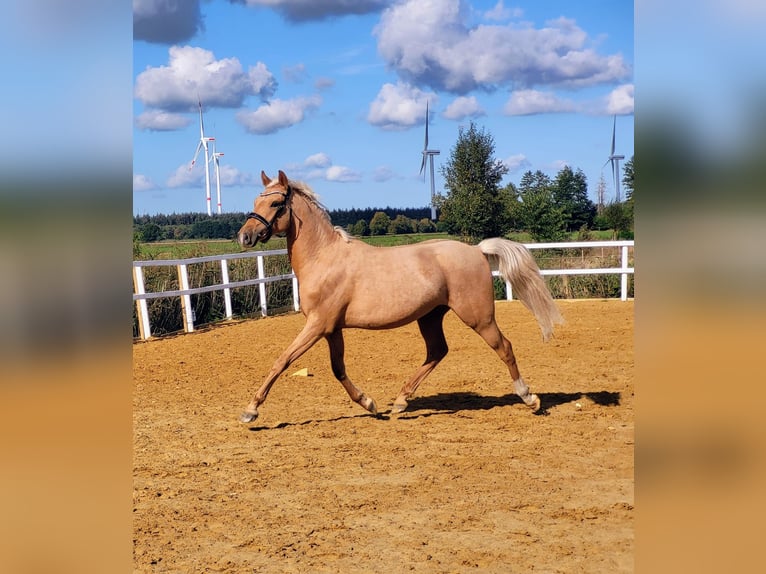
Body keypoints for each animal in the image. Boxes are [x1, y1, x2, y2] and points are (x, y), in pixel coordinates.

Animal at [236, 170, 563, 423]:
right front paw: (369, 404)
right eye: (255, 201)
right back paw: (400, 401)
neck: (324, 257)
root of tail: (476, 250)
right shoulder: (332, 329)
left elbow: (282, 361)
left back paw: (529, 398)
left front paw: (251, 410)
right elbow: (338, 369)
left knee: (503, 347)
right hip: (430, 316)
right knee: (437, 351)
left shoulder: (317, 325)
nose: (244, 236)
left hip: (478, 317)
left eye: (276, 202)